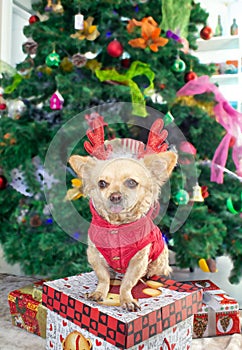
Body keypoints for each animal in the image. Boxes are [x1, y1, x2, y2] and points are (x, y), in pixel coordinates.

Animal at [69, 119, 177, 310]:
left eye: (132, 182)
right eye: (102, 183)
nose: (115, 196)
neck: (117, 225)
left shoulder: (139, 260)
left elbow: (127, 282)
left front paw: (127, 299)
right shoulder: (94, 254)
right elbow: (103, 277)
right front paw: (99, 292)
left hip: (159, 261)